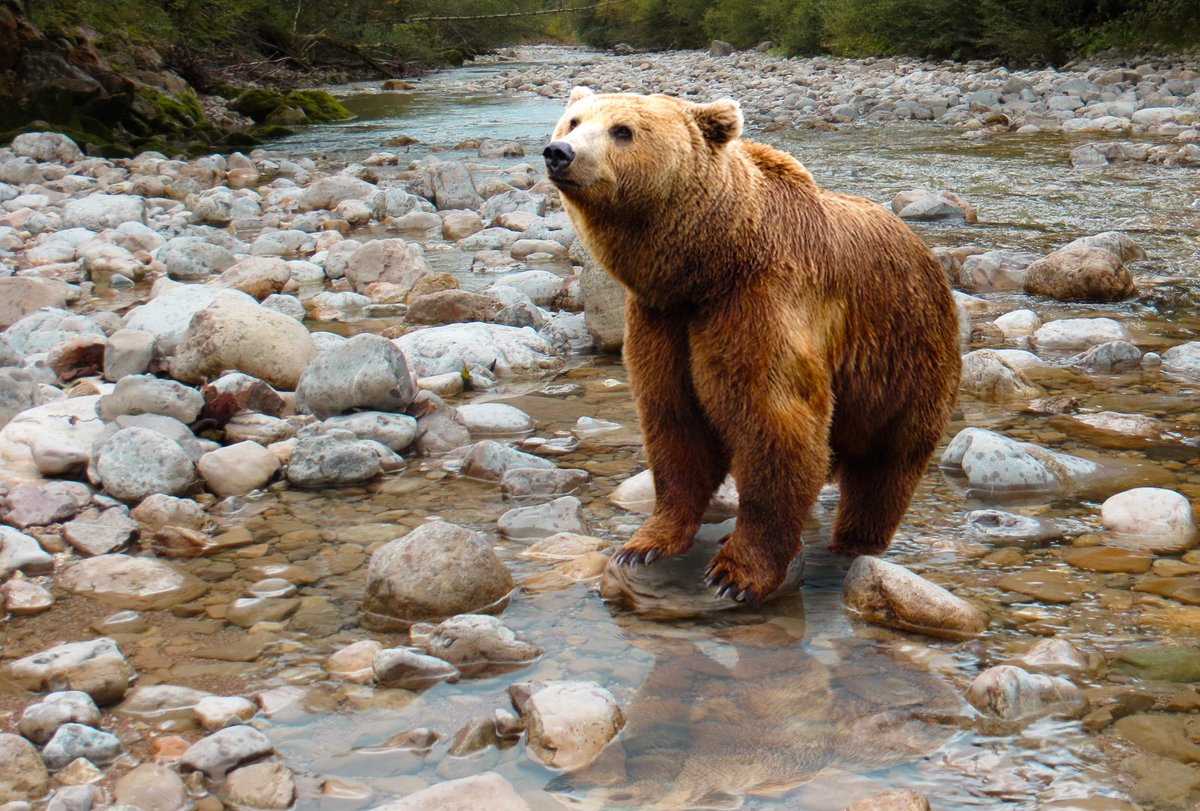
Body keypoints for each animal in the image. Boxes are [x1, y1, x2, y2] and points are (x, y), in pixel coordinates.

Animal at [543, 87, 961, 604]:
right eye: (573, 121)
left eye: (622, 130)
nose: (559, 152)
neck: (707, 265)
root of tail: (926, 252)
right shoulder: (663, 321)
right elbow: (673, 423)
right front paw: (644, 544)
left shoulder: (758, 302)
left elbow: (775, 424)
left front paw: (735, 573)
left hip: (905, 357)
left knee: (886, 465)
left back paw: (854, 540)